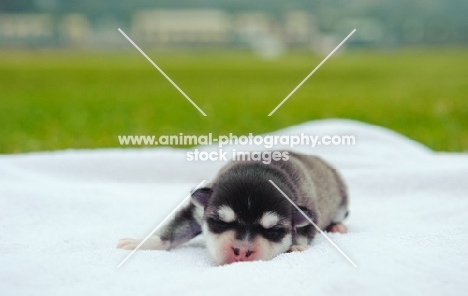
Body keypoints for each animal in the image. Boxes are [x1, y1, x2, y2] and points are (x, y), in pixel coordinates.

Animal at [119, 151, 350, 264]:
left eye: (273, 230)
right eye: (220, 222)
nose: (241, 251)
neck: (259, 168)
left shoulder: (309, 211)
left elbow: (303, 232)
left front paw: (295, 246)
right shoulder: (197, 210)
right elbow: (173, 230)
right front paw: (141, 243)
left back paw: (338, 226)